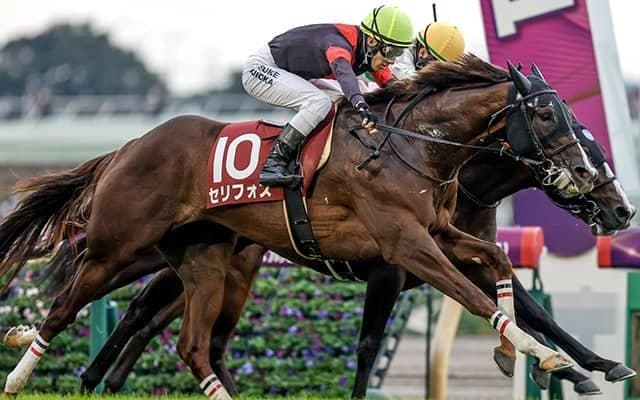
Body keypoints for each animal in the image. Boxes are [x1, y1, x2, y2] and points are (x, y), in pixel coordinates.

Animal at [0, 55, 598, 397]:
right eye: (547, 114)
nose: (585, 174)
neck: (415, 146)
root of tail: (126, 147)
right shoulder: (404, 247)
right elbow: (470, 298)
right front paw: (545, 354)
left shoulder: (438, 233)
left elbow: (497, 262)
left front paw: (530, 354)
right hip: (117, 247)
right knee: (65, 308)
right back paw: (19, 373)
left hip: (204, 261)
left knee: (191, 345)